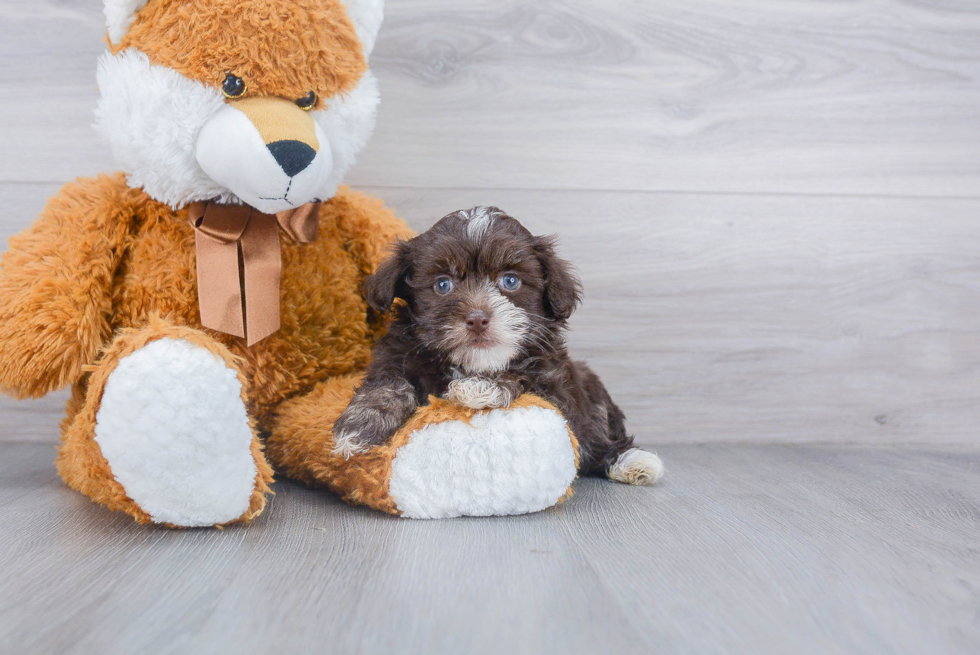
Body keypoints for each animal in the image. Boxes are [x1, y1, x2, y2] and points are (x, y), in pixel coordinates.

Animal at [334, 208, 664, 484]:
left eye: (510, 281)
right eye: (442, 284)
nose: (478, 319)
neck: (472, 363)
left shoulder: (557, 389)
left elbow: (522, 376)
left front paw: (479, 387)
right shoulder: (395, 356)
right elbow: (387, 385)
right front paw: (359, 427)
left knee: (601, 438)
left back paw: (634, 461)